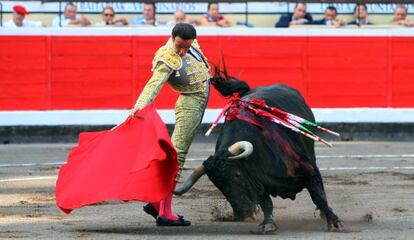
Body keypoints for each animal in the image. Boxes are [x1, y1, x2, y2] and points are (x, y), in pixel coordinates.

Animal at [174, 68, 342, 233]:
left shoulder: (309, 170)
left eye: (237, 174)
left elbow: (319, 196)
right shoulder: (258, 180)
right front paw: (268, 224)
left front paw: (334, 222)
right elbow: (266, 202)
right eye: (217, 184)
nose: (242, 213)